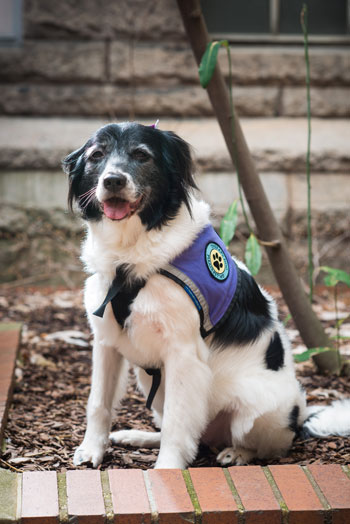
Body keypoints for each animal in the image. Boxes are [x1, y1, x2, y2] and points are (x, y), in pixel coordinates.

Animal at [63, 124, 350, 470]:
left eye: (141, 155)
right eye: (97, 155)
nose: (113, 180)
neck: (128, 258)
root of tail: (301, 414)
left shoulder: (183, 354)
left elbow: (178, 421)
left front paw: (168, 469)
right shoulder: (106, 342)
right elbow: (98, 403)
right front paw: (92, 449)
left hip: (257, 406)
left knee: (269, 446)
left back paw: (237, 452)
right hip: (149, 380)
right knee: (191, 434)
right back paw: (140, 437)